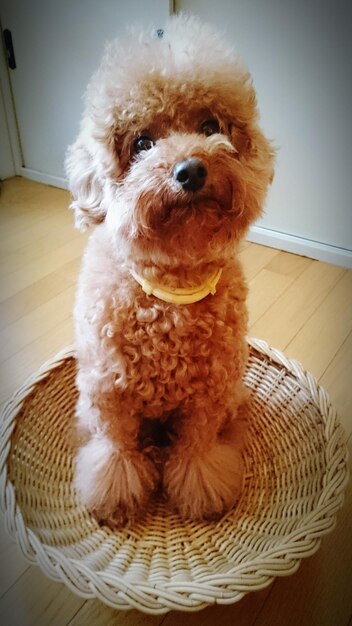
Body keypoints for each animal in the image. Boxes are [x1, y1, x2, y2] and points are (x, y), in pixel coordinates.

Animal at [66, 12, 276, 524]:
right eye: (142, 142)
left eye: (210, 124)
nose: (191, 170)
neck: (170, 291)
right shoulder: (109, 394)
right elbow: (116, 452)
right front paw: (113, 499)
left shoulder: (208, 396)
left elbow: (197, 451)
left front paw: (203, 493)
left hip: (231, 393)